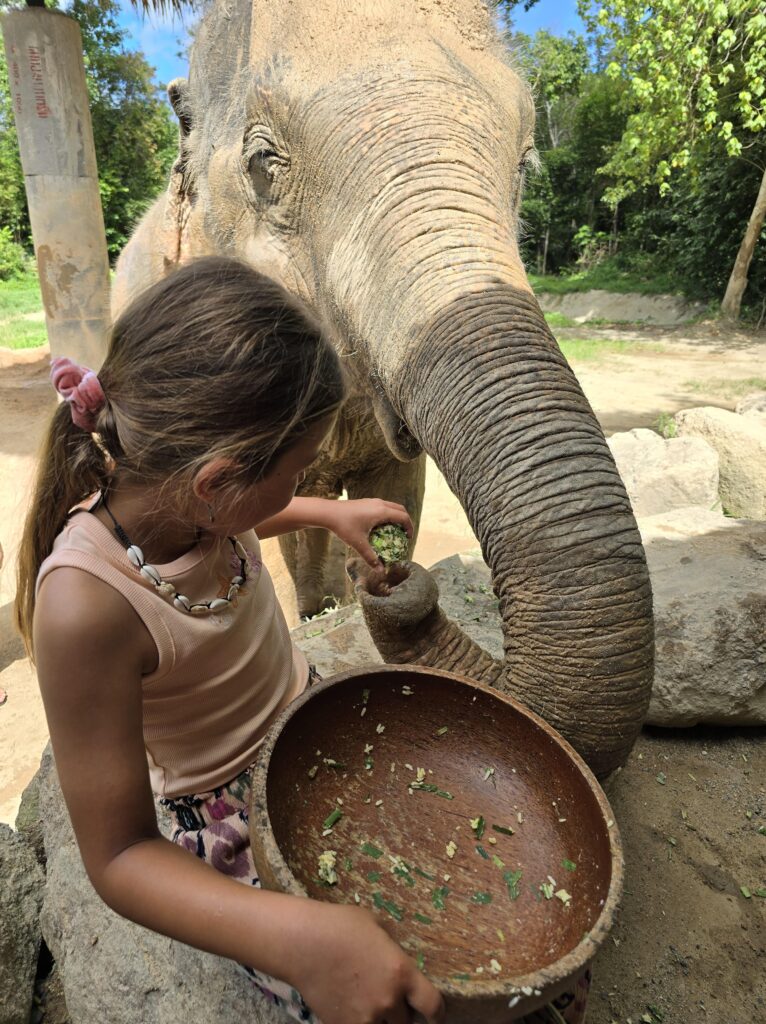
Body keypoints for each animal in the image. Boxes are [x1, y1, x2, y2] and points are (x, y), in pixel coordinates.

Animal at [113, 0, 651, 770]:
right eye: (263, 164)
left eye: (525, 163)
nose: (401, 586)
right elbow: (290, 521)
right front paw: (327, 609)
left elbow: (401, 487)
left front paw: (376, 558)